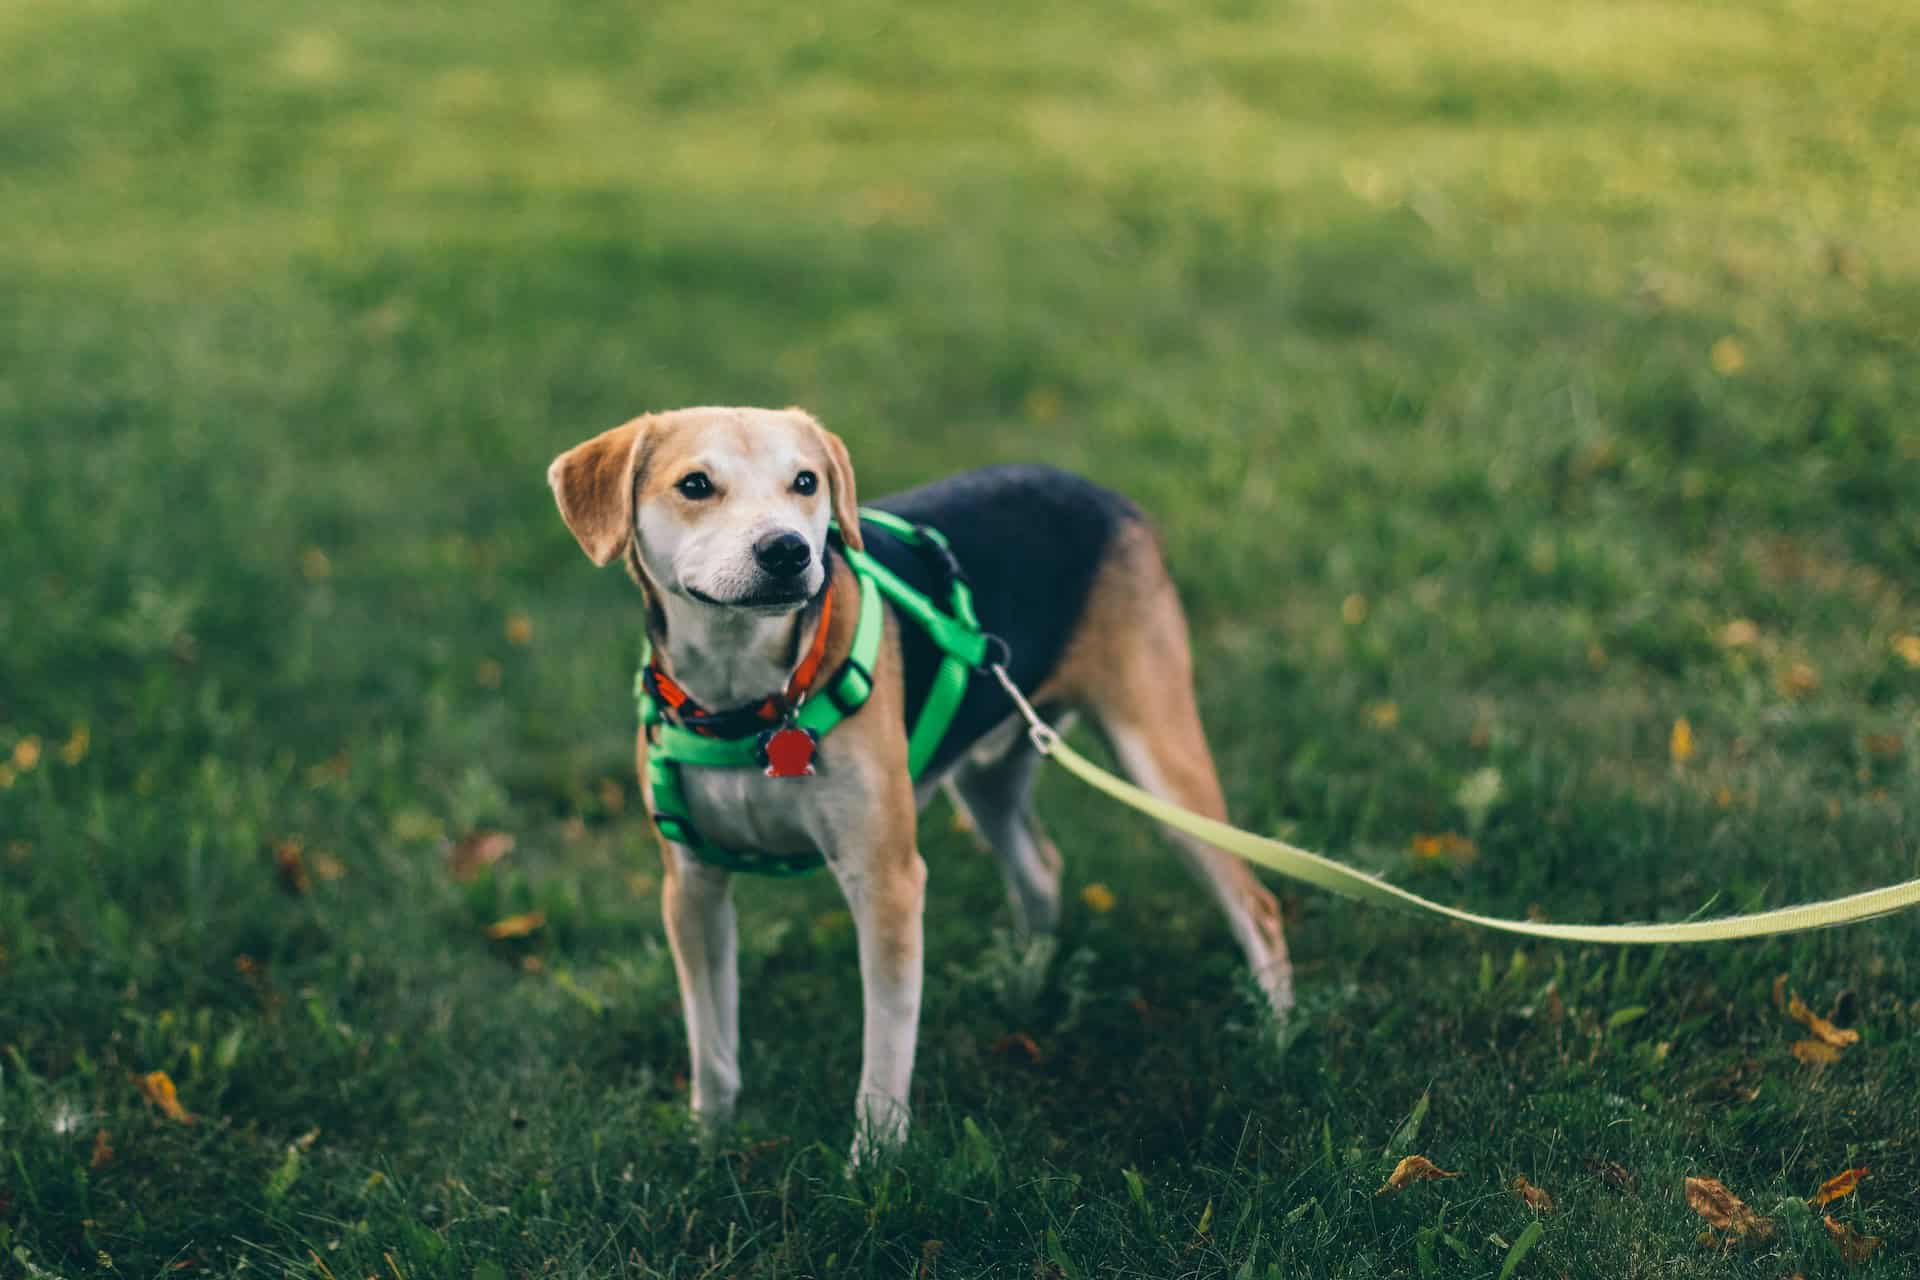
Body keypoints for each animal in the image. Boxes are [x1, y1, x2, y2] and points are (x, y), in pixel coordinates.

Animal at [545, 408, 1290, 1159]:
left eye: (805, 482)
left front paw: (873, 1161)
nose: (788, 551)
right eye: (695, 485)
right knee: (1041, 866)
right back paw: (1028, 979)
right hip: (990, 774)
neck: (750, 701)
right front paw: (709, 1140)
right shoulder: (692, 886)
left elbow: (885, 1045)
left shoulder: (886, 881)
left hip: (1158, 758)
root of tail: (1102, 493)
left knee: (1257, 905)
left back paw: (1276, 1035)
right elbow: (711, 1040)